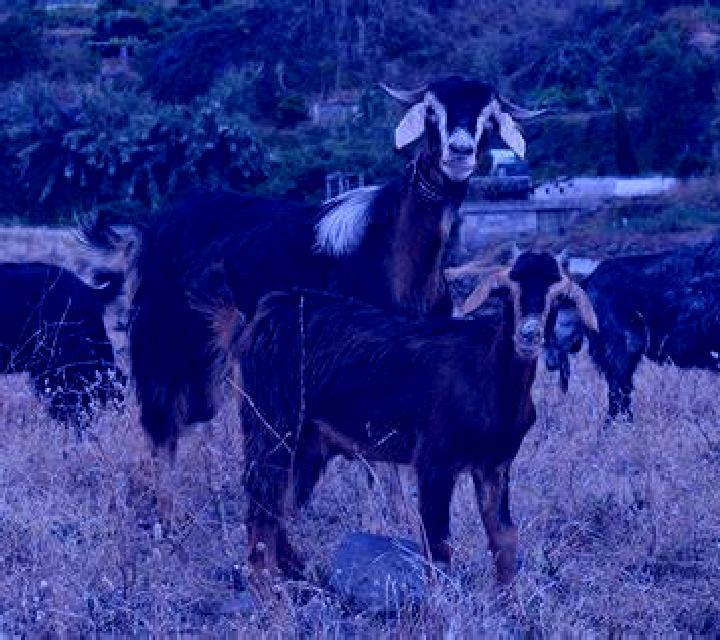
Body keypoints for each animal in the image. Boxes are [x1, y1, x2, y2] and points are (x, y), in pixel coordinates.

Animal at [84, 75, 543, 454]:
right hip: (163, 340)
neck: (396, 251)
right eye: (432, 110)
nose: (460, 152)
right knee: (162, 423)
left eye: (489, 118)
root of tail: (149, 230)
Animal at [233, 252, 597, 585]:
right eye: (507, 293)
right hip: (271, 425)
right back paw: (271, 595)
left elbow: (503, 539)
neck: (489, 374)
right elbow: (438, 546)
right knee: (261, 512)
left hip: (308, 445)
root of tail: (269, 311)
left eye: (557, 298)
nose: (528, 335)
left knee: (278, 509)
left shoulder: (495, 464)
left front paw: (508, 603)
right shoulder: (435, 461)